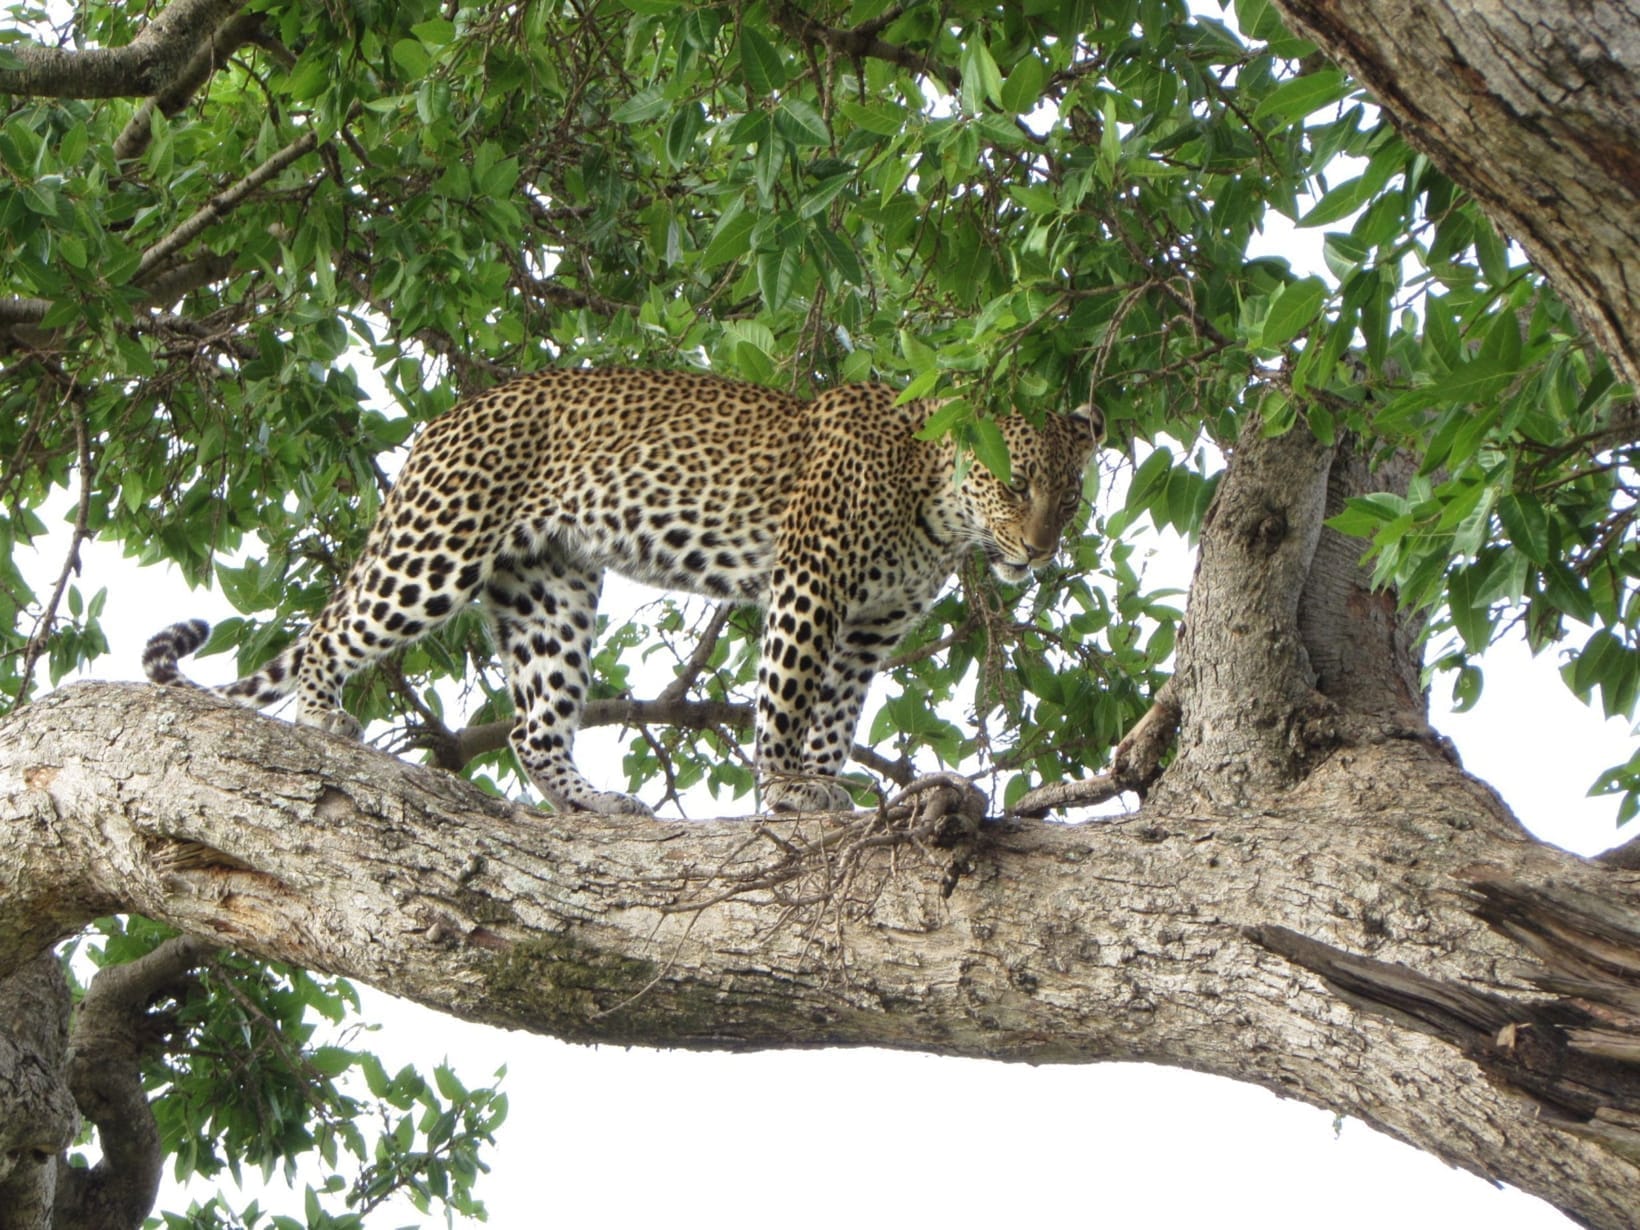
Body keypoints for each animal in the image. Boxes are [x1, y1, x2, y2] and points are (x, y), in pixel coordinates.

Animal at [144, 367, 1104, 816]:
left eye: (1071, 495)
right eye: (1015, 482)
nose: (1039, 549)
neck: (936, 507)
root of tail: (443, 420)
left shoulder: (871, 627)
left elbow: (835, 713)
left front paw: (822, 786)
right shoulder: (810, 583)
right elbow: (789, 697)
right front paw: (786, 785)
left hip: (547, 588)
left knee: (534, 726)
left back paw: (589, 801)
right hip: (437, 550)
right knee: (333, 631)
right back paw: (322, 716)